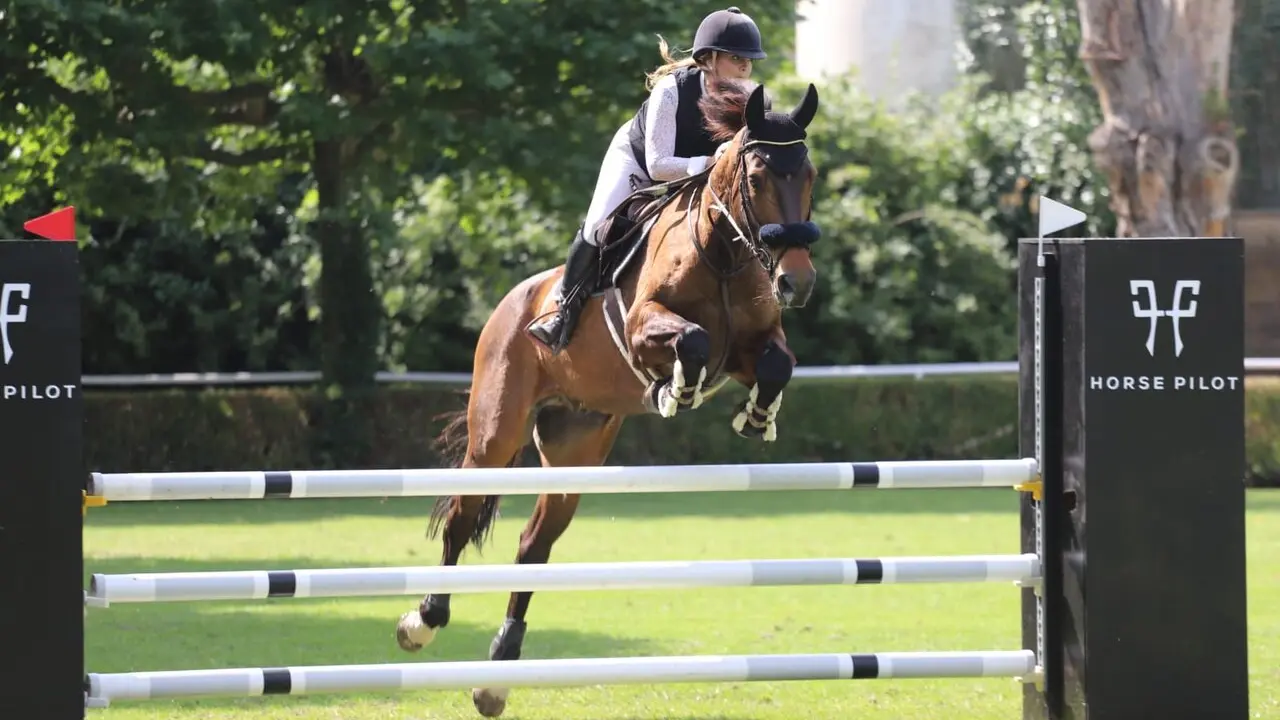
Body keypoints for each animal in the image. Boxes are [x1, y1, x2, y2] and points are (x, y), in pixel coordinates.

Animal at [394, 78, 822, 718]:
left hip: (574, 452)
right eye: (756, 178)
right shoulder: (647, 328)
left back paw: (498, 673)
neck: (721, 254)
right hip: (495, 435)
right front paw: (676, 389)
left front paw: (756, 417)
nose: (797, 281)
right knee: (461, 519)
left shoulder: (751, 349)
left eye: (809, 174)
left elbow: (775, 363)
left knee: (533, 544)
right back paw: (422, 621)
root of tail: (510, 303)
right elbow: (691, 341)